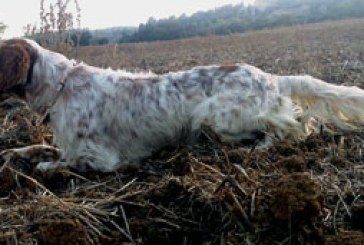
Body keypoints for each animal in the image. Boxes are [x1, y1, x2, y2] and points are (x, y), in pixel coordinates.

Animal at [0, 38, 364, 172]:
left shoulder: (101, 158)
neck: (61, 85)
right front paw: (14, 152)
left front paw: (41, 167)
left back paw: (255, 148)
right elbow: (38, 148)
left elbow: (60, 162)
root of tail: (272, 77)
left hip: (213, 116)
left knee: (289, 127)